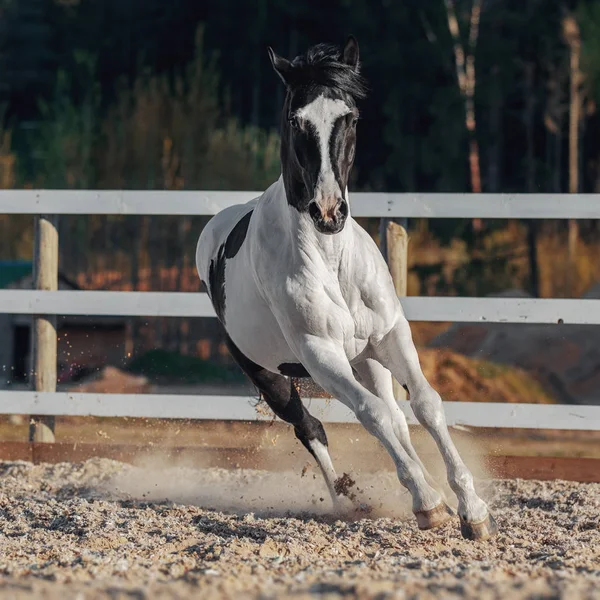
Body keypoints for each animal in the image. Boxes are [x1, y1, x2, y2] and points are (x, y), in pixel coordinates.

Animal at [197, 39, 496, 540]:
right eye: (295, 119)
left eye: (350, 117)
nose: (328, 211)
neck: (330, 259)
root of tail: (213, 233)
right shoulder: (321, 355)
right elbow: (371, 414)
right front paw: (431, 502)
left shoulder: (390, 335)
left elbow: (426, 405)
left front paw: (471, 509)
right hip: (271, 376)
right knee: (312, 428)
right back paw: (350, 500)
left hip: (366, 358)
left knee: (395, 418)